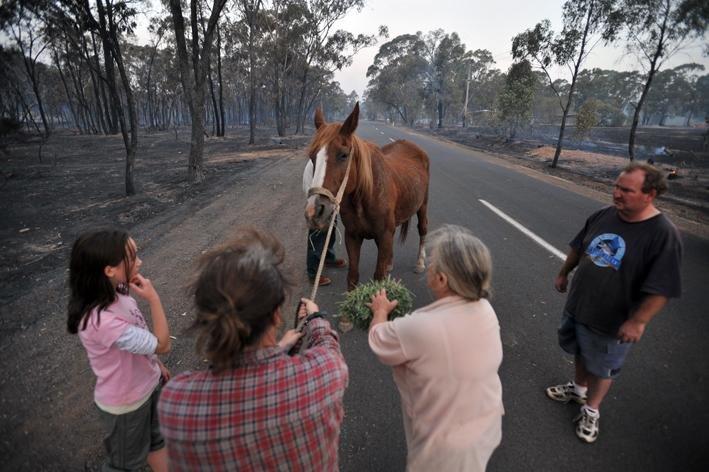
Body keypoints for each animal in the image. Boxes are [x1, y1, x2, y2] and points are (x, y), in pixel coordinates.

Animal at [302, 103, 428, 288]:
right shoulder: (353, 237)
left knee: (423, 229)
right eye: (312, 157)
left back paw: (420, 263)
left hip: (423, 205)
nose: (314, 210)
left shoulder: (383, 236)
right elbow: (353, 277)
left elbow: (378, 279)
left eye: (343, 155)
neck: (366, 197)